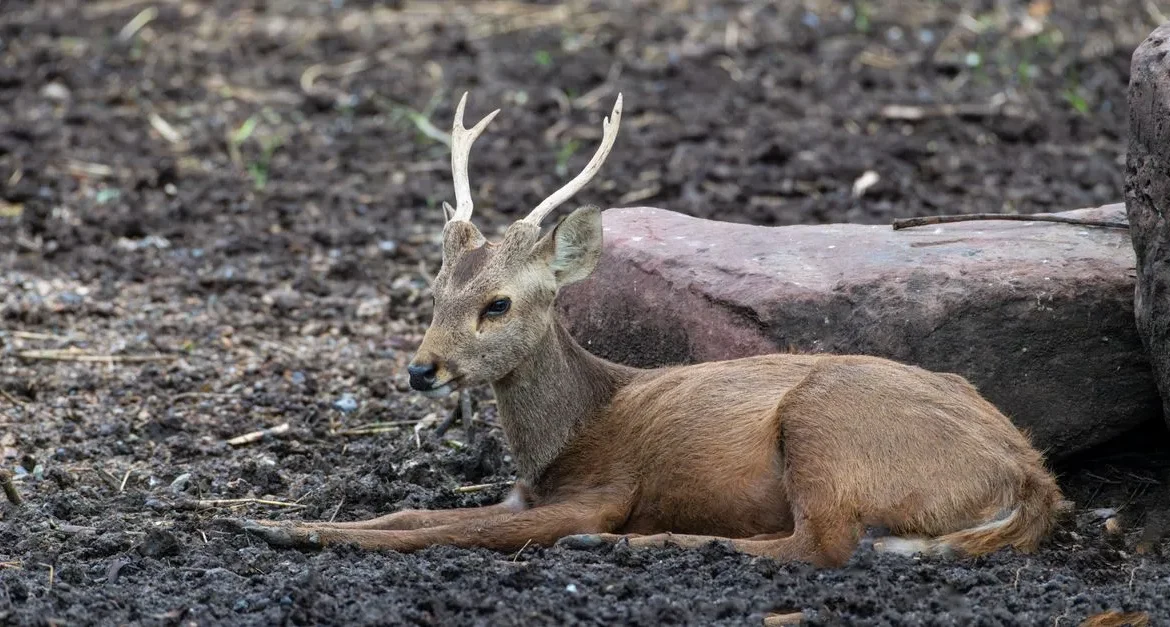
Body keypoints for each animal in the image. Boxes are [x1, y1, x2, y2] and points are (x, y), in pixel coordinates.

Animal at [237, 92, 1065, 568]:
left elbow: (448, 532)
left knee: (820, 545)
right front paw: (276, 522)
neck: (569, 431)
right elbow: (414, 510)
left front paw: (277, 529)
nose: (421, 369)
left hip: (827, 426)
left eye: (497, 303)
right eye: (434, 291)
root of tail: (1030, 474)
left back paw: (627, 543)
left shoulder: (600, 489)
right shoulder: (523, 492)